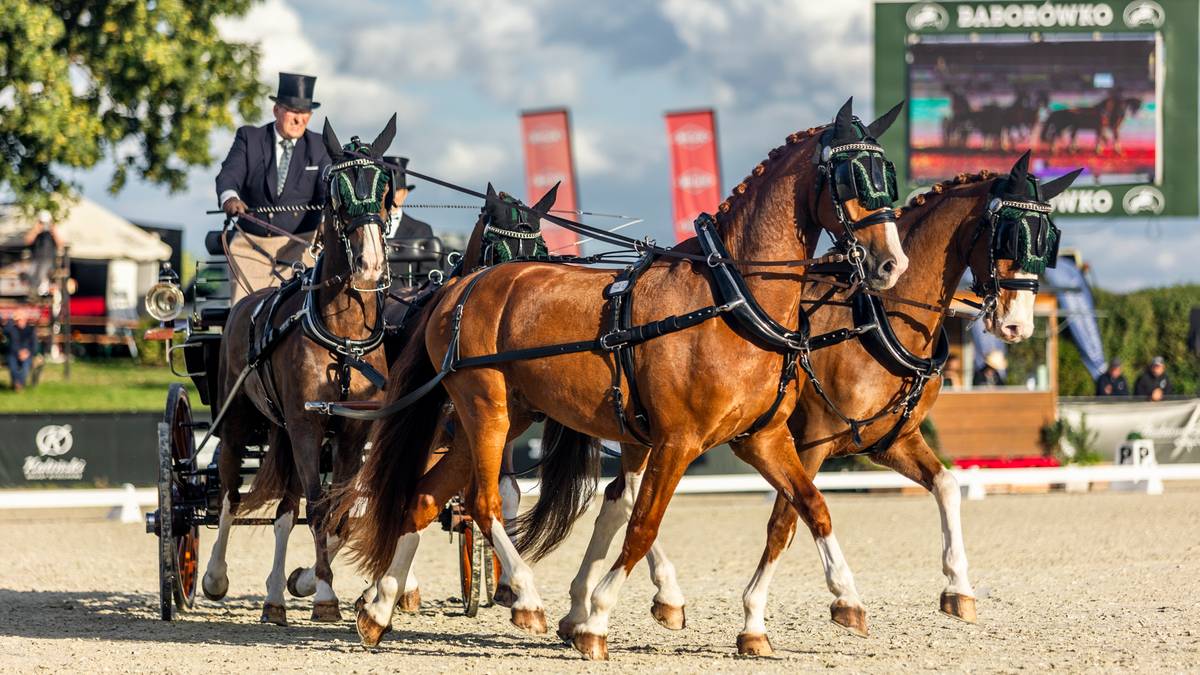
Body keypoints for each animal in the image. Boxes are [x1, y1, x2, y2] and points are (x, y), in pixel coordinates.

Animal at [201, 117, 398, 624]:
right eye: (335, 190)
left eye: (384, 187)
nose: (369, 266)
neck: (343, 337)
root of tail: (244, 304)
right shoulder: (308, 425)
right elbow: (319, 507)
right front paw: (325, 595)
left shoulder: (350, 431)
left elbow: (339, 510)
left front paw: (306, 582)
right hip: (239, 420)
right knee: (229, 494)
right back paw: (215, 576)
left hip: (281, 430)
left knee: (286, 510)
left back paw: (274, 597)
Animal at [338, 97, 907, 653]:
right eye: (850, 175)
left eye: (888, 173)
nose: (890, 264)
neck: (730, 297)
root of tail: (461, 284)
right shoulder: (677, 441)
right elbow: (642, 525)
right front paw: (596, 619)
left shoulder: (761, 439)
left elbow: (812, 507)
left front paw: (842, 601)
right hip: (485, 411)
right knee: (483, 502)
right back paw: (524, 599)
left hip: (508, 415)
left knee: (424, 498)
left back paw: (378, 609)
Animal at [544, 151, 1080, 653]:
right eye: (1009, 235)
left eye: (1048, 239)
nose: (1017, 325)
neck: (876, 318)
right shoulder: (812, 442)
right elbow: (786, 522)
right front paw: (764, 617)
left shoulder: (891, 441)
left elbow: (947, 485)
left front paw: (958, 587)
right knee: (632, 497)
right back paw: (633, 600)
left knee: (618, 497)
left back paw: (584, 608)